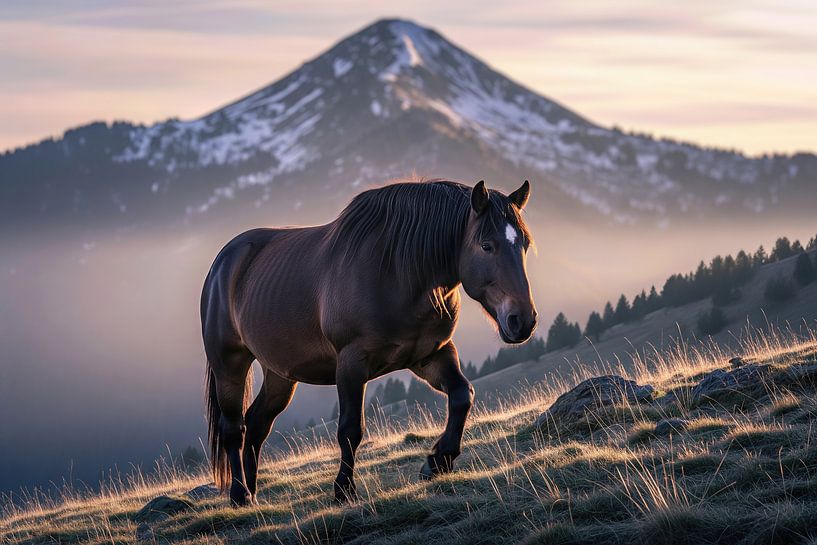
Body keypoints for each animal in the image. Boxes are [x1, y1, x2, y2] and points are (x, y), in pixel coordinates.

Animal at [201, 179, 537, 506]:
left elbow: (461, 395)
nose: (523, 320)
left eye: (524, 244)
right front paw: (343, 489)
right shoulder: (352, 362)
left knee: (257, 424)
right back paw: (240, 495)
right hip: (229, 364)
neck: (398, 272)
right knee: (234, 428)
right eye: (486, 245)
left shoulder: (431, 354)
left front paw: (438, 461)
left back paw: (254, 494)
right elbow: (350, 428)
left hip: (280, 374)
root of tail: (222, 263)